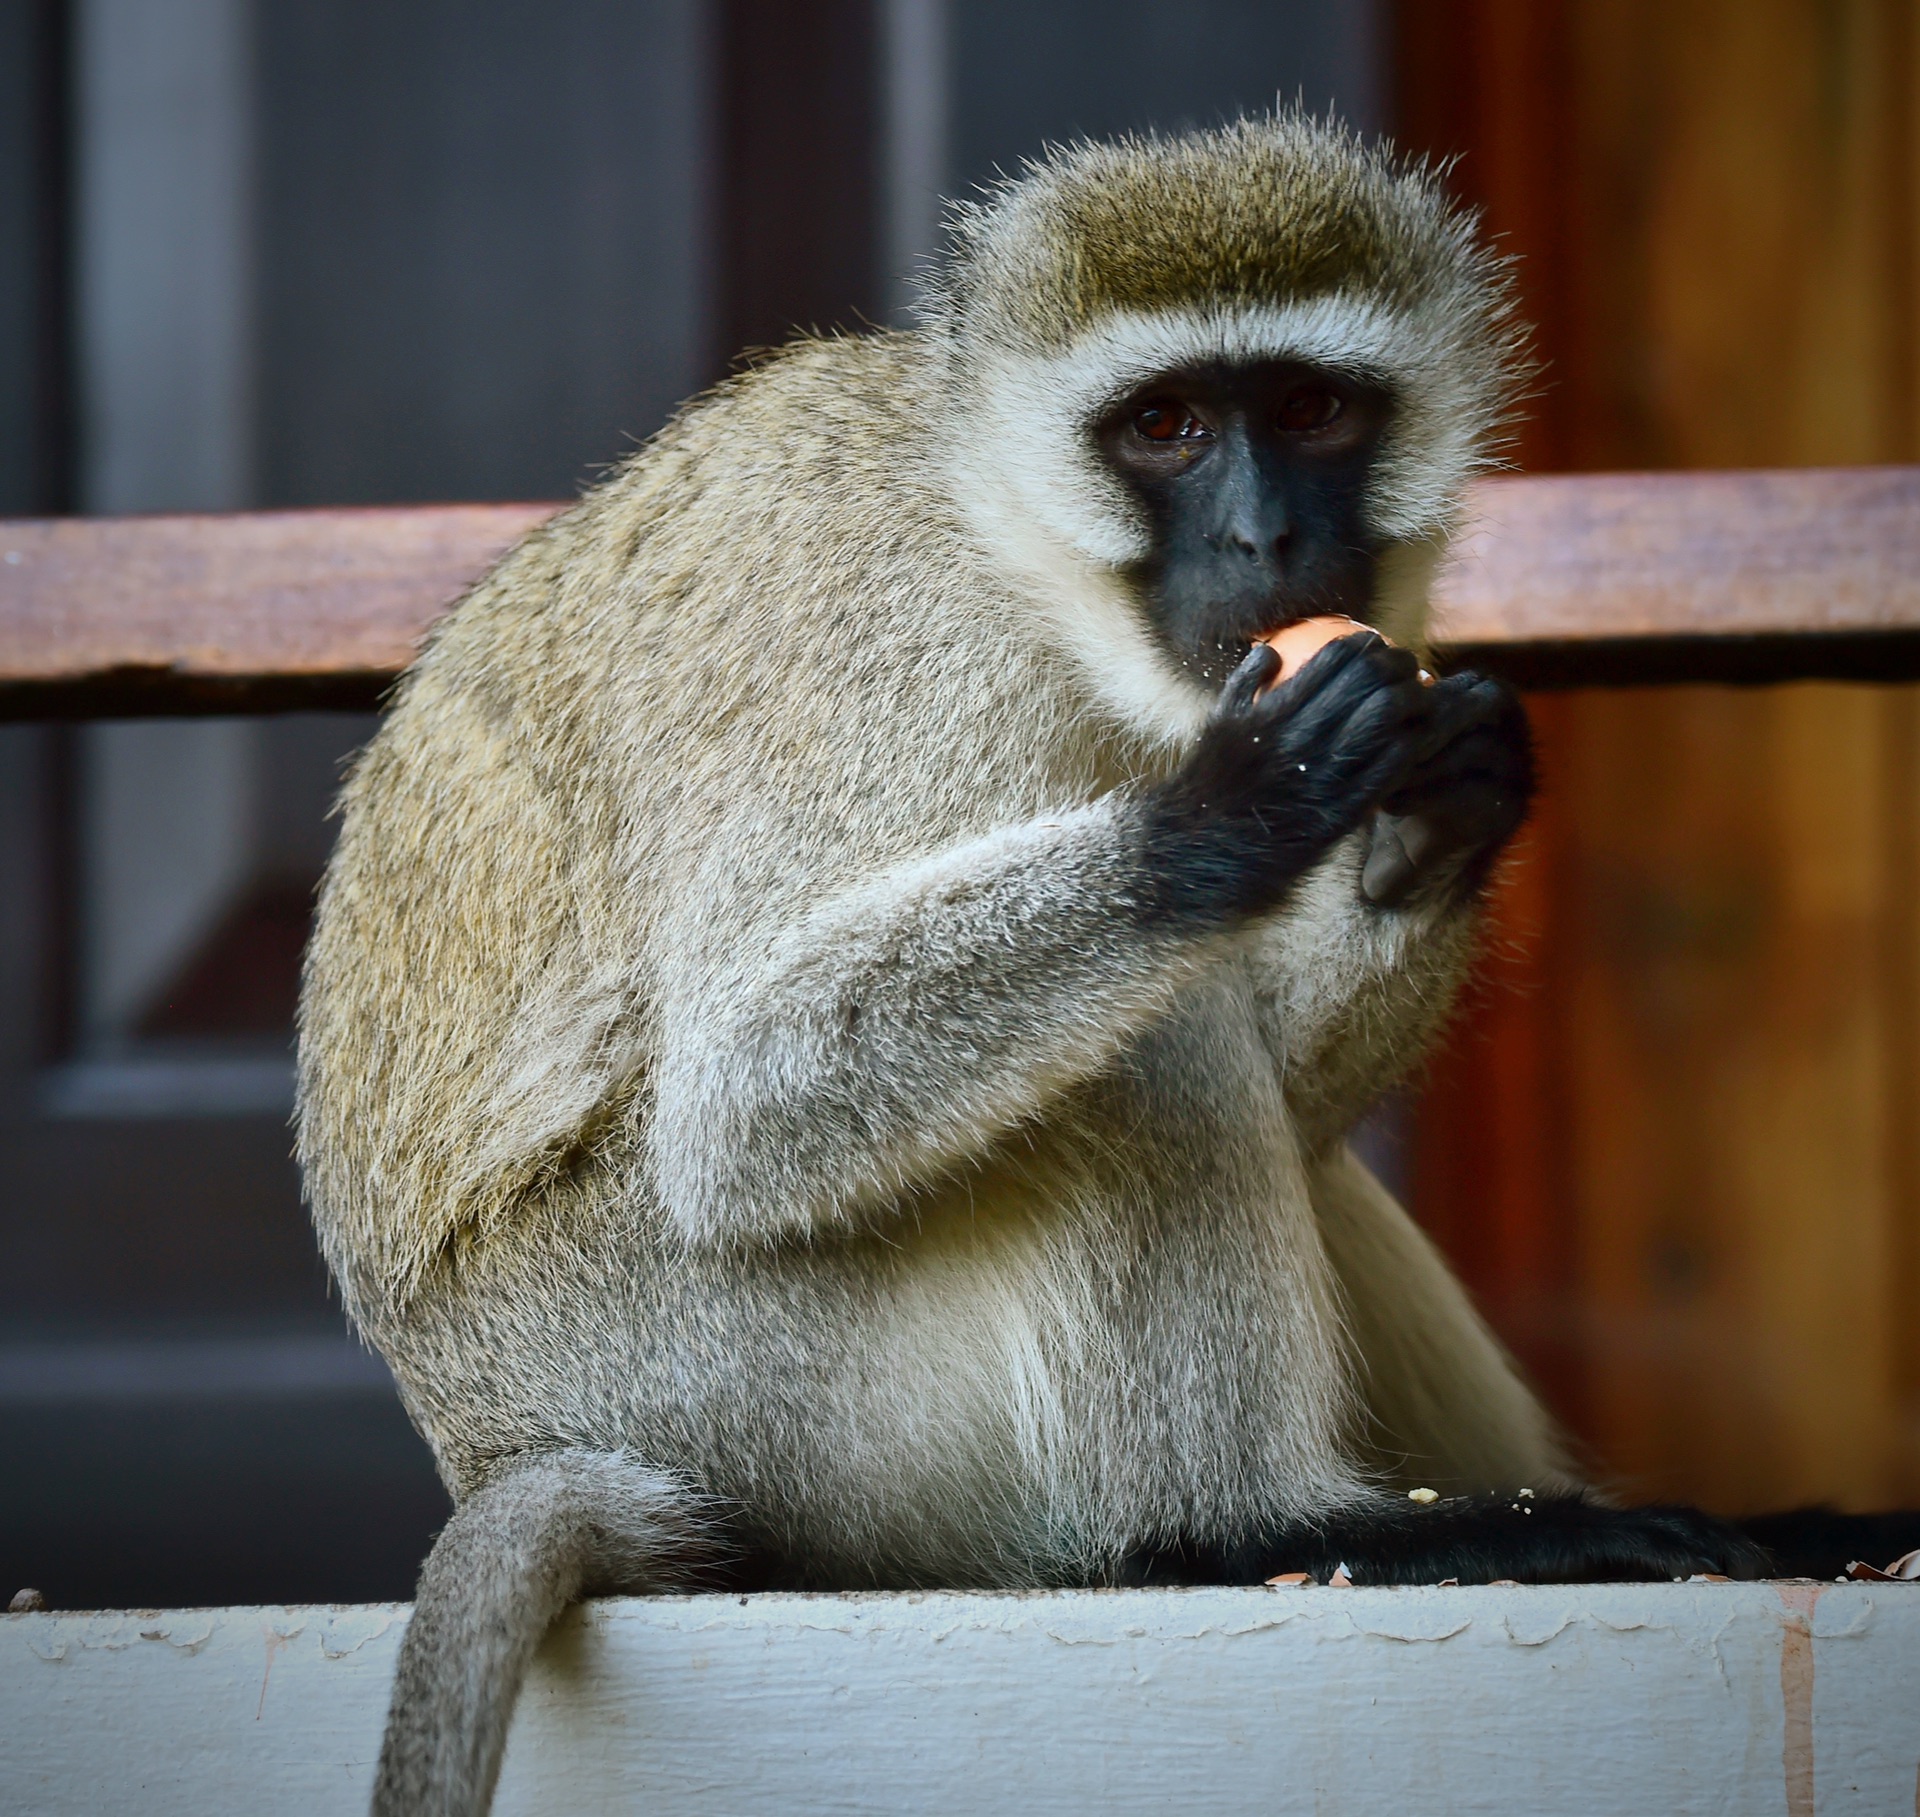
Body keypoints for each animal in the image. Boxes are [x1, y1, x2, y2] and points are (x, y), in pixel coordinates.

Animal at [303, 116, 1766, 1813]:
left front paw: (1451, 798)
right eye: (1167, 425)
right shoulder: (896, 651)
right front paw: (1234, 812)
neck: (1019, 557)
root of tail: (488, 1436)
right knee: (1147, 1042)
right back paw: (1252, 1533)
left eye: (1314, 409)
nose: (1267, 537)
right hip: (725, 1386)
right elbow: (740, 1108)